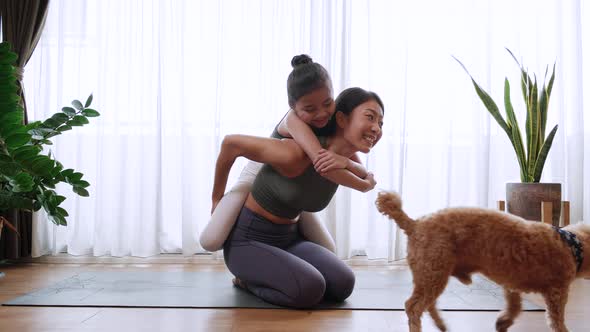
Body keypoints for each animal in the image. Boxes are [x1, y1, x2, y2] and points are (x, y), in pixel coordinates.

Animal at [376, 191, 588, 330]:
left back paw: (441, 324)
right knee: (413, 307)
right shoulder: (556, 293)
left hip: (433, 274)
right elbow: (556, 320)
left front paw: (504, 322)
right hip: (433, 272)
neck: (573, 245)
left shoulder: (511, 283)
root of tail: (414, 224)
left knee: (427, 304)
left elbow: (515, 305)